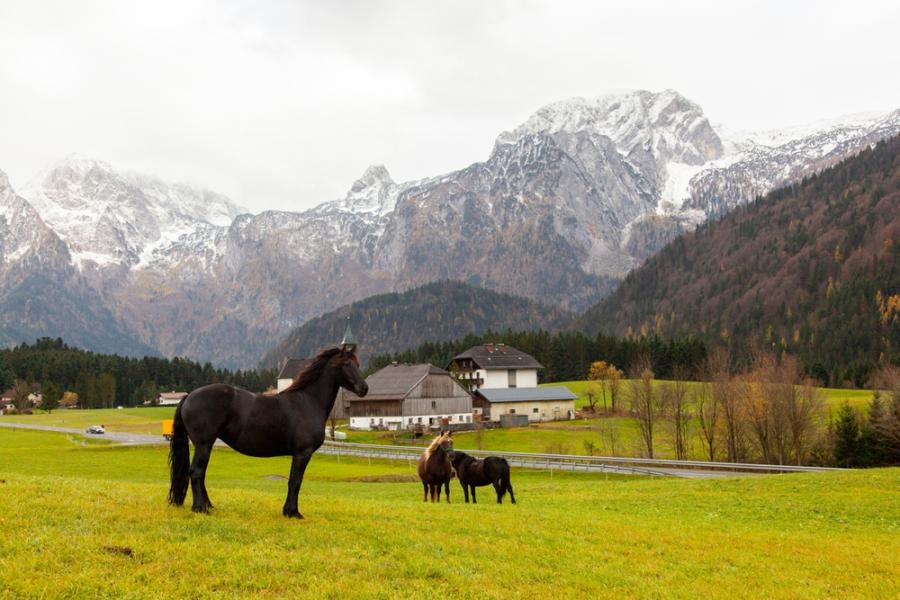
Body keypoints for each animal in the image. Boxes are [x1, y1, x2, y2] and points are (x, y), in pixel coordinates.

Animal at [167, 350, 368, 516]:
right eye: (347, 364)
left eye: (357, 364)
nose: (364, 388)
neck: (308, 402)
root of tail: (189, 396)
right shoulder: (303, 452)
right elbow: (295, 481)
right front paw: (292, 512)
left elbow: (293, 481)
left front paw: (289, 511)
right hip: (204, 444)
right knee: (196, 472)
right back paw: (200, 508)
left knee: (200, 474)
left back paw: (208, 506)